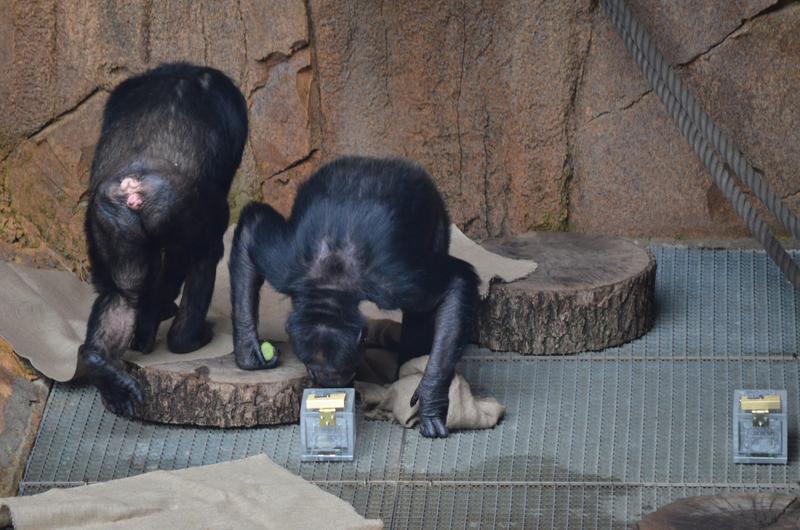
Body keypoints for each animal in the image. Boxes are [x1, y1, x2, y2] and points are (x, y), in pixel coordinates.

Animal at [78, 64, 248, 414]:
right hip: (182, 207)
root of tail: (134, 188)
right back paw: (188, 338)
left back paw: (101, 364)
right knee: (204, 257)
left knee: (122, 293)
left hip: (108, 220)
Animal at [231, 155, 482, 436]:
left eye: (344, 370)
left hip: (434, 211)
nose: (330, 383)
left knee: (421, 311)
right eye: (313, 369)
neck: (330, 281)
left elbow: (456, 283)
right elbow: (252, 227)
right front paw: (249, 352)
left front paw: (430, 401)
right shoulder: (281, 263)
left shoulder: (398, 283)